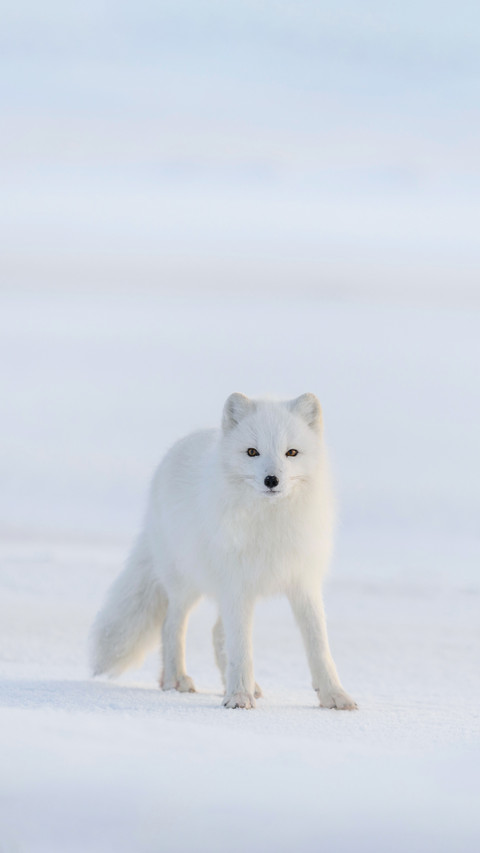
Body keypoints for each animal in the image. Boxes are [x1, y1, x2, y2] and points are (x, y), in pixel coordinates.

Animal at [90, 392, 357, 710]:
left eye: (291, 452)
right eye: (252, 452)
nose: (271, 480)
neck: (270, 525)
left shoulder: (303, 584)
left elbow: (319, 646)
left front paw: (335, 696)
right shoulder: (236, 587)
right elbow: (241, 648)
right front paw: (239, 697)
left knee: (217, 633)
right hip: (187, 584)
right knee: (171, 626)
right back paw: (175, 680)